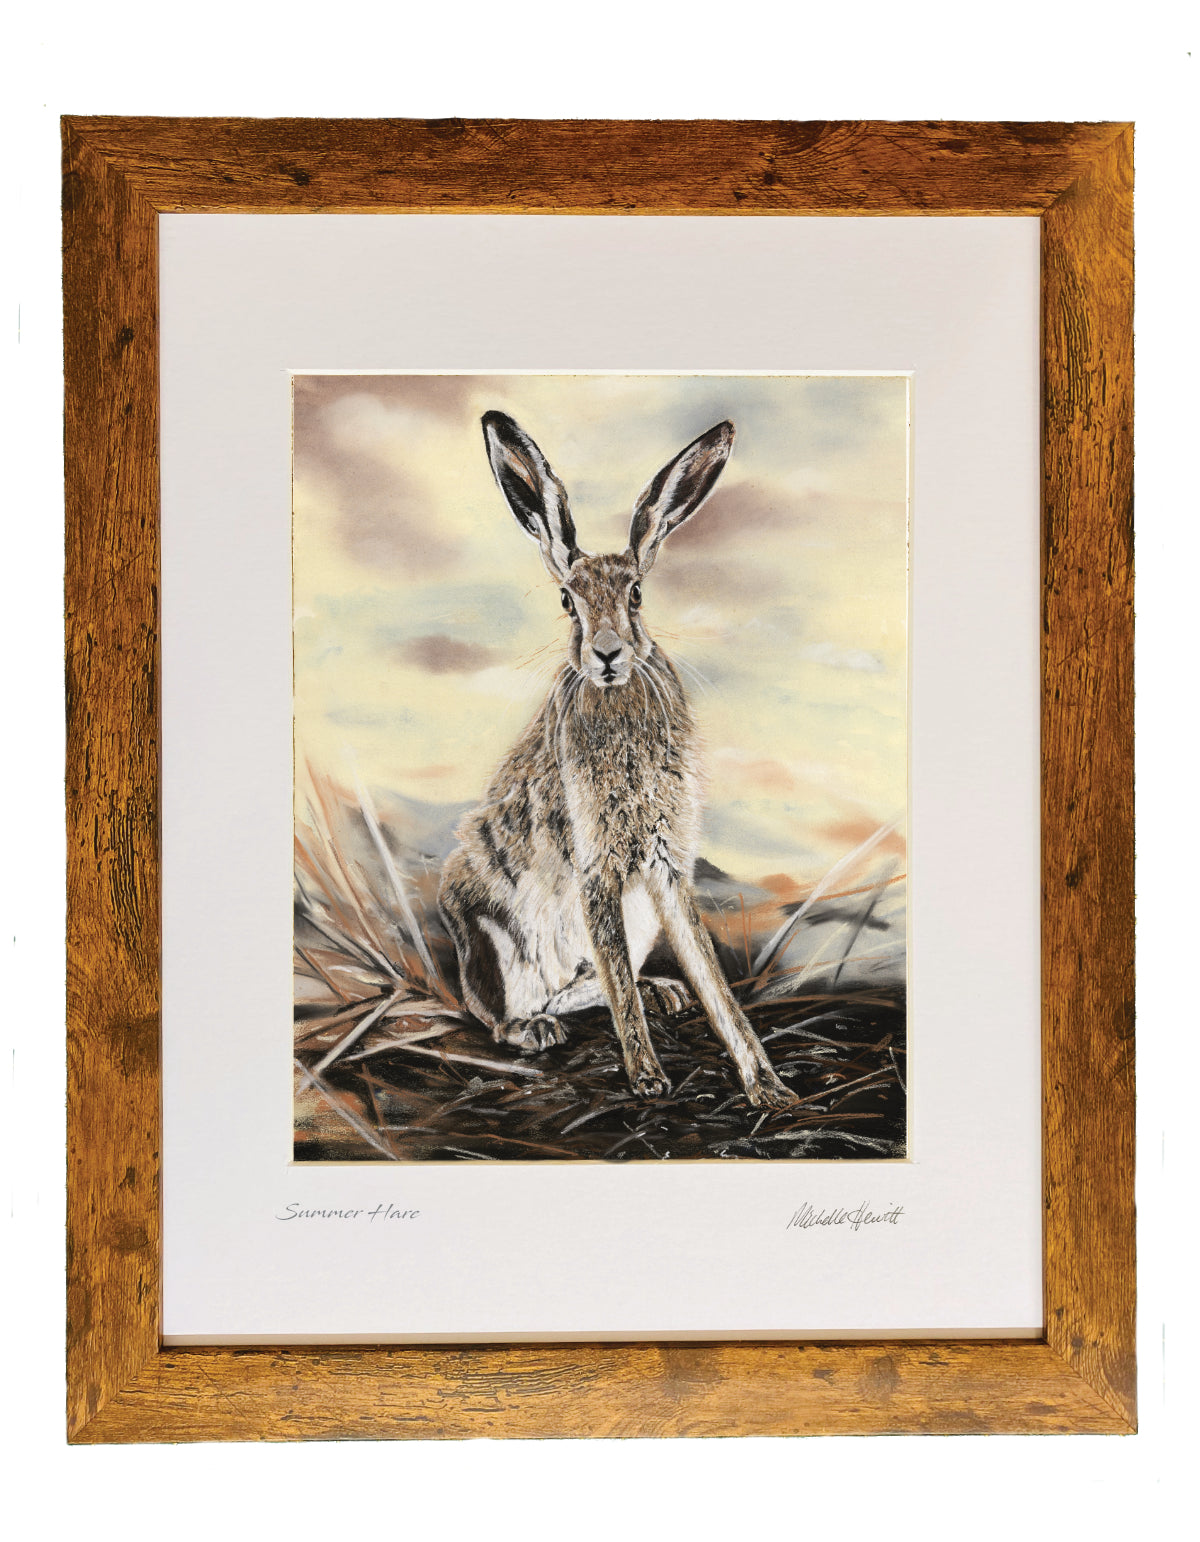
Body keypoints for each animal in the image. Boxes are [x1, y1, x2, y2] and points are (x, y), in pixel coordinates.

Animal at [438, 411, 798, 1109]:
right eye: (566, 601)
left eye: (635, 594)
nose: (606, 654)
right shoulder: (595, 867)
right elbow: (620, 986)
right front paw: (650, 1078)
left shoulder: (667, 865)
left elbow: (710, 980)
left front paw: (768, 1087)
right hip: (493, 942)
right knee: (511, 1011)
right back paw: (535, 1030)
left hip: (638, 920)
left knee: (596, 980)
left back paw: (662, 993)